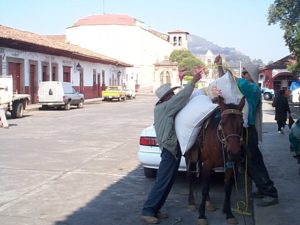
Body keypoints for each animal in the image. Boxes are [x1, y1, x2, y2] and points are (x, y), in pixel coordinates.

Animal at [185, 96, 246, 225]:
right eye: (222, 123)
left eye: (242, 122)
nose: (234, 153)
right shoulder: (208, 164)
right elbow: (204, 188)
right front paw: (201, 215)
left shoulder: (229, 166)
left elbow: (227, 188)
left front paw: (229, 213)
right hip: (190, 158)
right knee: (190, 176)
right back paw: (191, 202)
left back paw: (209, 203)